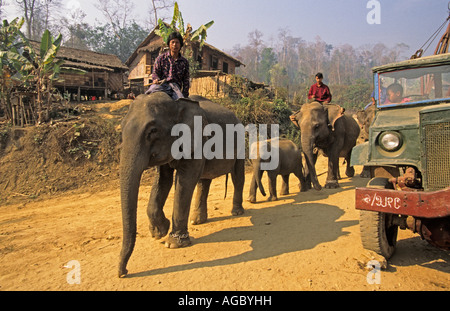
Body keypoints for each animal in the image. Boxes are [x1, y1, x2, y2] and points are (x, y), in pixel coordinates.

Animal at [118, 92, 244, 278]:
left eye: (153, 131)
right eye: (121, 128)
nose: (123, 272)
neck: (177, 105)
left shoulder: (198, 141)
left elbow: (185, 180)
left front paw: (172, 243)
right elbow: (163, 179)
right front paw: (159, 232)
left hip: (241, 142)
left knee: (237, 176)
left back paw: (236, 212)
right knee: (204, 181)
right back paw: (197, 220)